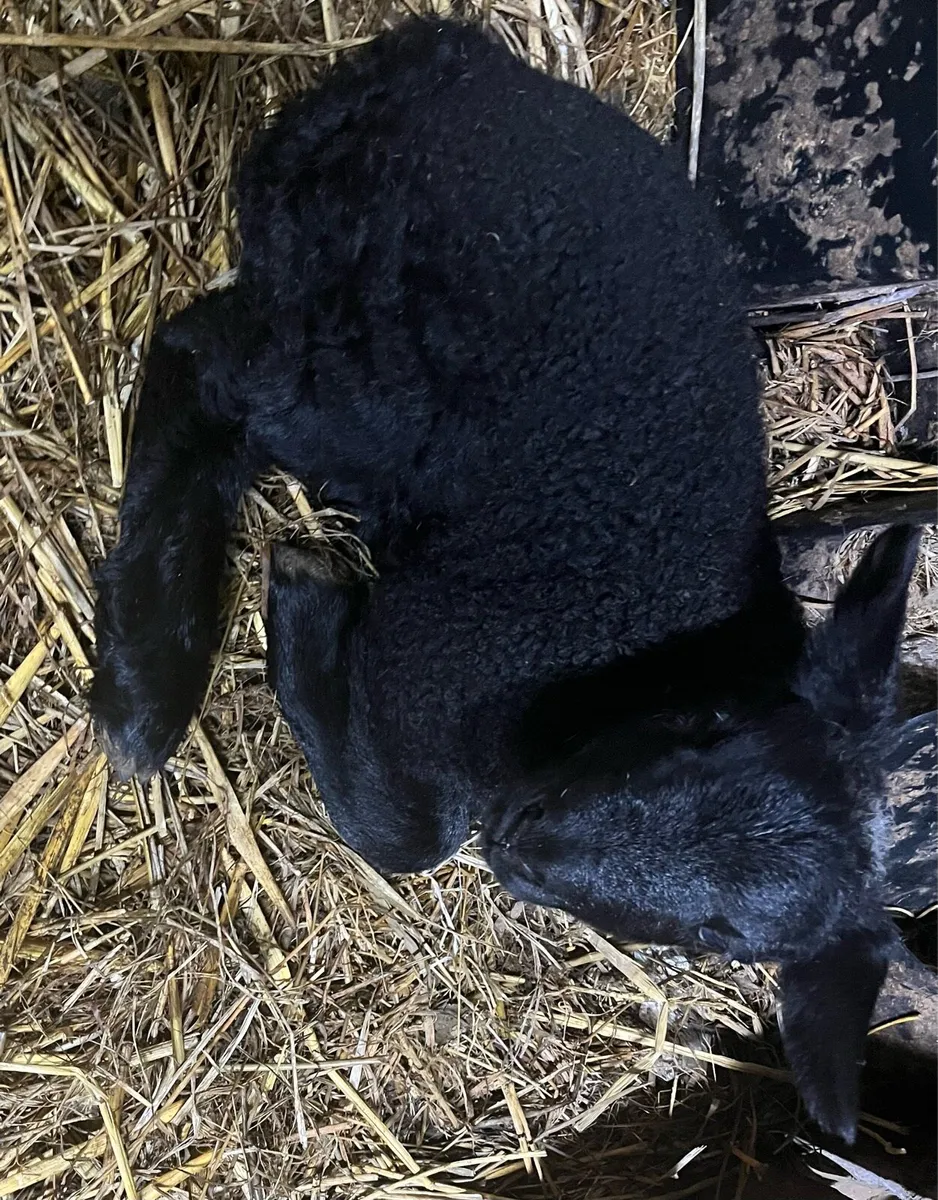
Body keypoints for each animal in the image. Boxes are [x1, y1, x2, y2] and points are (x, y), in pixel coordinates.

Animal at [89, 18, 921, 1143]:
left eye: (723, 940)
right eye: (705, 734)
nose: (528, 850)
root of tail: (441, 60)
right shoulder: (432, 657)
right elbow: (405, 833)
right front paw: (303, 598)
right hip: (371, 368)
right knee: (197, 360)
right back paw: (147, 680)